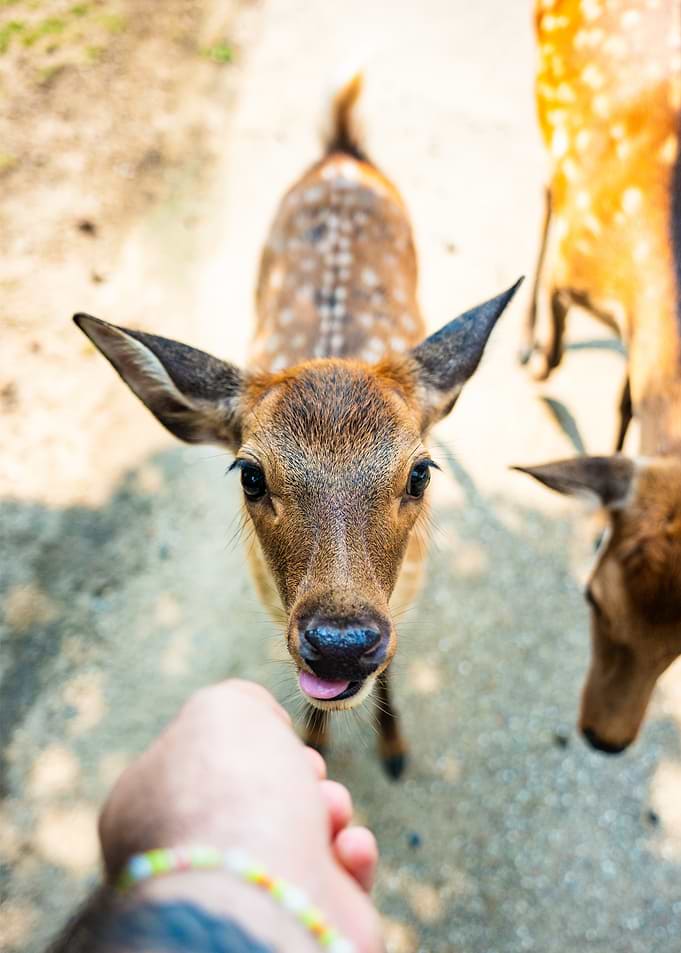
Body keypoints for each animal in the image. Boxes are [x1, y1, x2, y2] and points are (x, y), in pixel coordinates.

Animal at [74, 73, 521, 777]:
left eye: (421, 473)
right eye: (249, 474)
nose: (341, 643)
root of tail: (340, 151)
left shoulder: (407, 594)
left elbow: (394, 668)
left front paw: (394, 747)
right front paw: (314, 744)